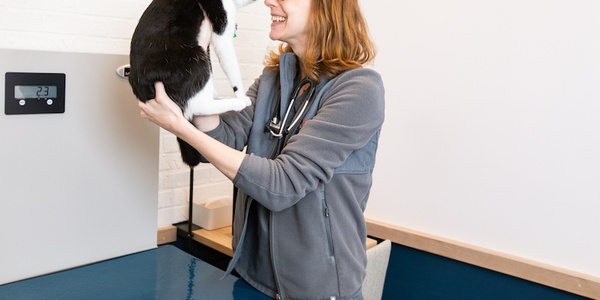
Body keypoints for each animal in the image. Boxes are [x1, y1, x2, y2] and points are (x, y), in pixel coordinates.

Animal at [129, 0, 255, 166]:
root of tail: (142, 91)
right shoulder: (220, 30)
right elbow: (231, 65)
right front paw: (241, 96)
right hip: (194, 58)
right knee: (197, 106)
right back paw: (236, 103)